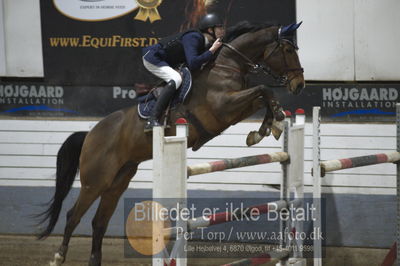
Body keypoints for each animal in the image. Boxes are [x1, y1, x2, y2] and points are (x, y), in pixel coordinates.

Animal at [39, 21, 304, 266]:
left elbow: (262, 96)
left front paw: (267, 127)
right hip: (95, 181)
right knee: (73, 216)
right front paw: (273, 122)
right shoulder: (223, 108)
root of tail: (90, 134)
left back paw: (94, 260)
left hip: (118, 181)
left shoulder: (235, 109)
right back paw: (58, 256)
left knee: (99, 222)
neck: (227, 65)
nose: (299, 84)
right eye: (288, 50)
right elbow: (264, 89)